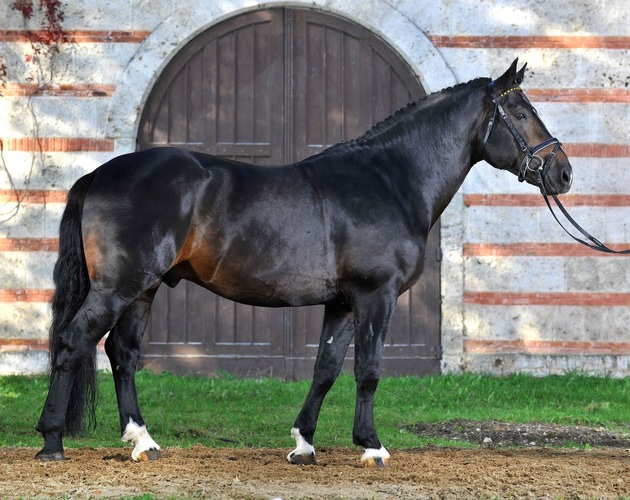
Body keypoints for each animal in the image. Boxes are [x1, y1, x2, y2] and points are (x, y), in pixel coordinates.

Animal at [37, 60, 576, 466]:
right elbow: (368, 370)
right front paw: (372, 447)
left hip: (143, 288)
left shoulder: (342, 303)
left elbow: (326, 368)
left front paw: (303, 444)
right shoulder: (375, 296)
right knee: (74, 341)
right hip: (118, 286)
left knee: (122, 353)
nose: (564, 173)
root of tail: (99, 174)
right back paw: (52, 441)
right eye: (521, 112)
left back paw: (143, 442)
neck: (389, 180)